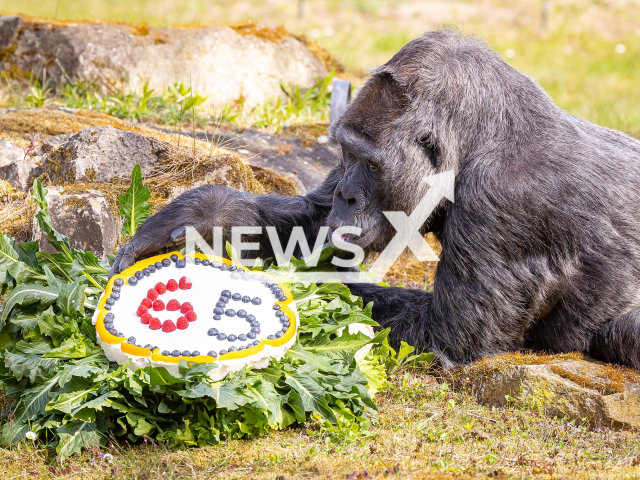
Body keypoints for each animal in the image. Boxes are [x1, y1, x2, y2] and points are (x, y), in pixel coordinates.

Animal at [112, 31, 640, 368]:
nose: (347, 194)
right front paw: (198, 217)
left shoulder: (505, 206)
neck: (481, 140)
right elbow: (310, 226)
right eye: (345, 152)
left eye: (369, 164)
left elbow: (445, 337)